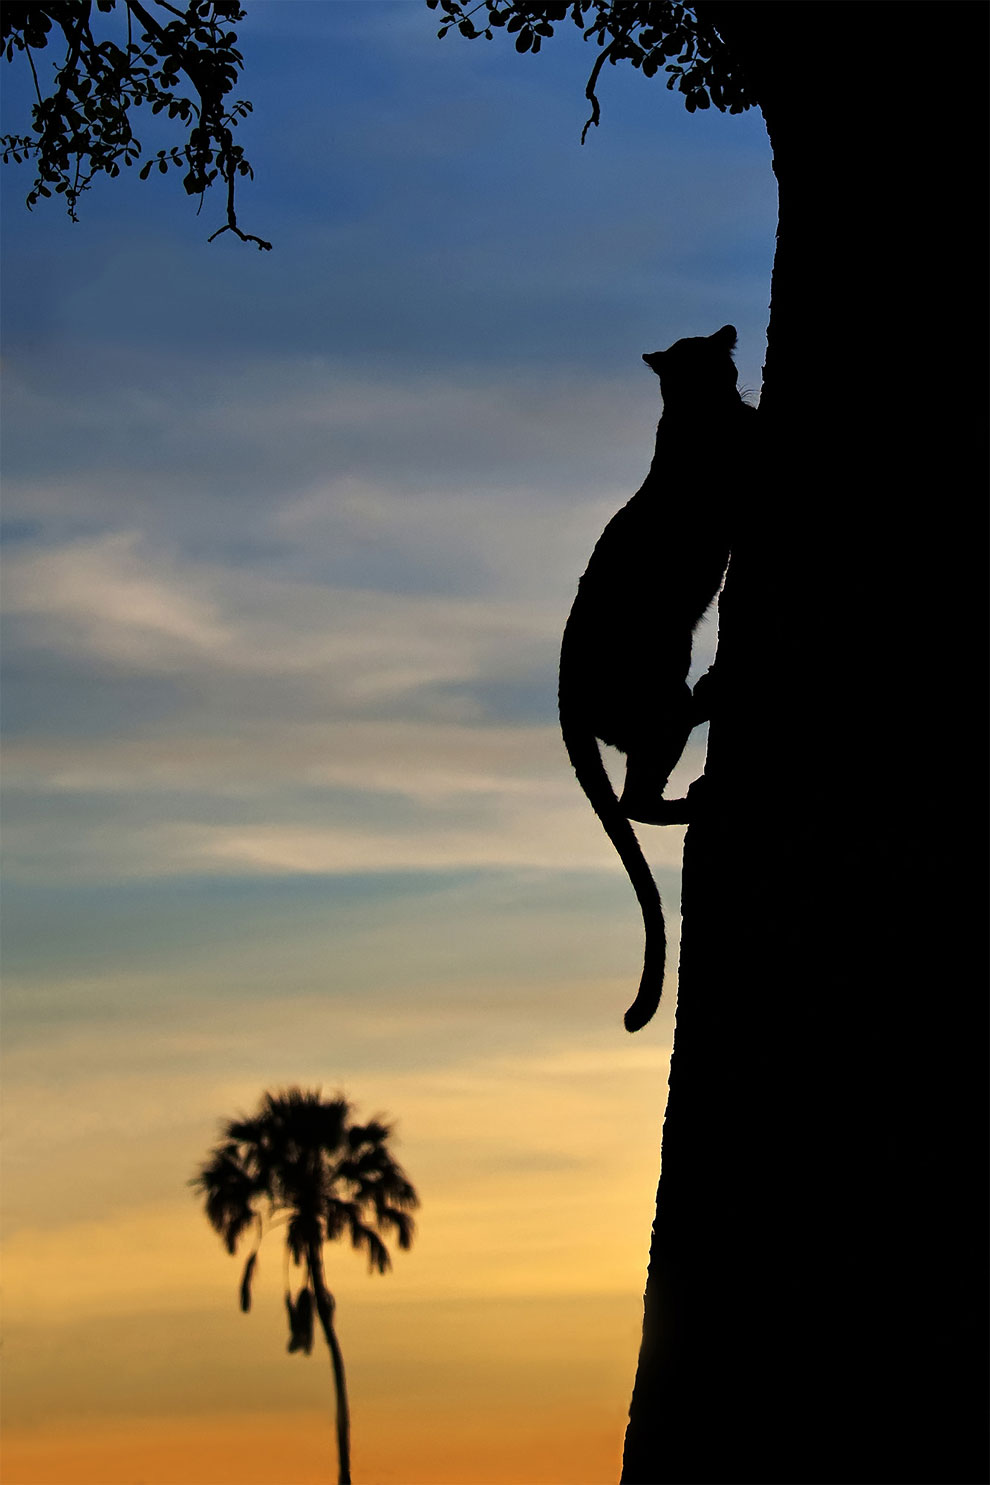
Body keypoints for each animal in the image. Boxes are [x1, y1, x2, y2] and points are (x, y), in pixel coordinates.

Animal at [558, 325, 751, 1033]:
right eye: (713, 356)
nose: (730, 335)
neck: (693, 412)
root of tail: (564, 697)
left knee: (635, 796)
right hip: (657, 704)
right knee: (636, 798)